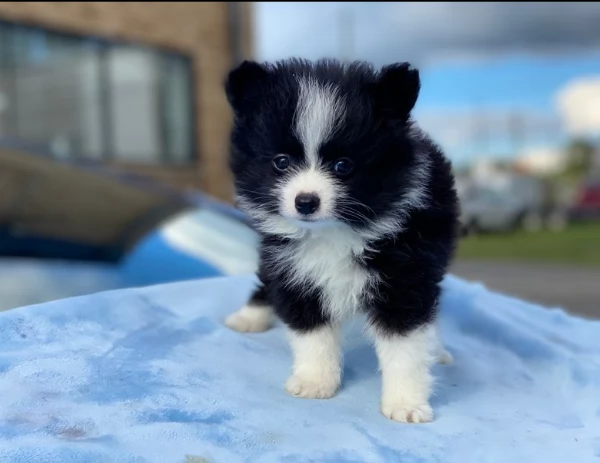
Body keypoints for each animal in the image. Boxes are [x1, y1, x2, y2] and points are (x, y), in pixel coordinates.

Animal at [223, 58, 458, 424]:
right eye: (281, 162)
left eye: (343, 166)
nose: (306, 202)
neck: (334, 230)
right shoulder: (294, 270)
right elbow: (311, 332)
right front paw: (315, 381)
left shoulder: (406, 276)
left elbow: (405, 346)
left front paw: (406, 402)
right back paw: (249, 317)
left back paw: (438, 349)